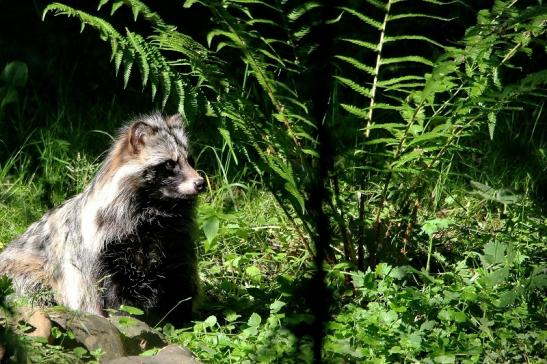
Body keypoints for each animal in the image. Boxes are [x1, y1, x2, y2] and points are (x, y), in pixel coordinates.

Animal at [0, 113, 204, 322]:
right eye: (169, 163)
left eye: (190, 160)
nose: (200, 183)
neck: (158, 207)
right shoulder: (104, 245)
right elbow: (110, 288)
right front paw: (123, 316)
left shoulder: (174, 243)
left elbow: (180, 282)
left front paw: (180, 318)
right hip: (24, 273)